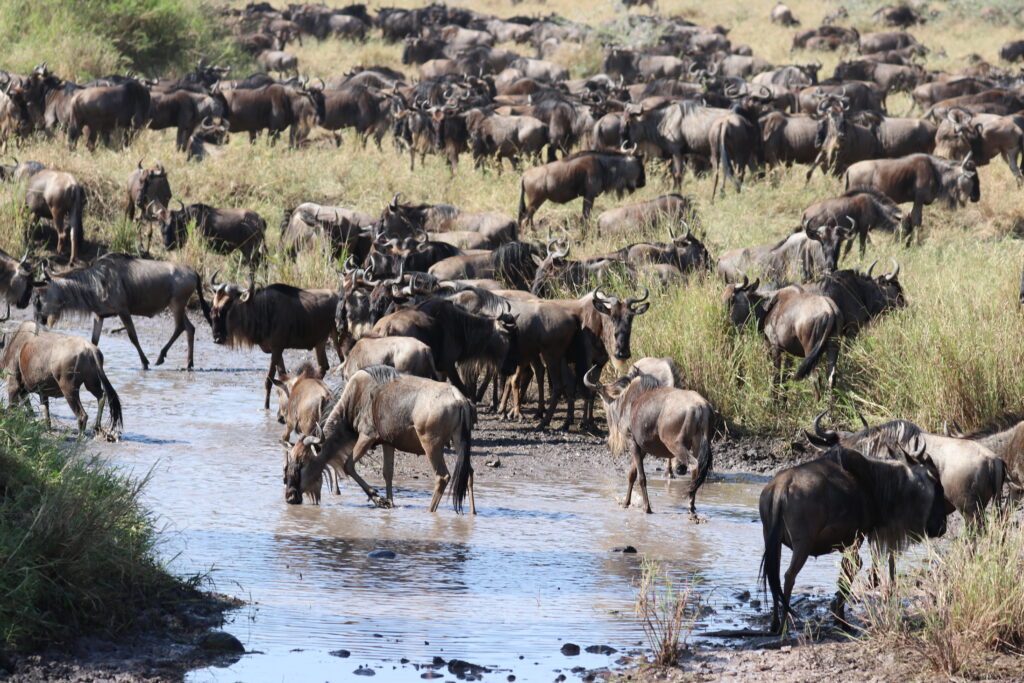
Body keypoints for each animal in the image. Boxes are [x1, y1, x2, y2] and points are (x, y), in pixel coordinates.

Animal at [32, 252, 211, 368]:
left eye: (38, 296)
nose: (39, 320)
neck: (95, 282)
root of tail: (194, 272)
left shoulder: (123, 311)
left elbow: (133, 337)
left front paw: (145, 363)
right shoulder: (99, 315)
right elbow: (94, 341)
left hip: (176, 305)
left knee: (179, 327)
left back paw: (161, 357)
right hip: (178, 307)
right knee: (190, 328)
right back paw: (188, 364)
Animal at [286, 366, 477, 516]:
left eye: (302, 462)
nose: (289, 496)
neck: (354, 398)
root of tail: (459, 399)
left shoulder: (367, 437)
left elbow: (348, 466)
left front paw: (379, 499)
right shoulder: (387, 442)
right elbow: (387, 473)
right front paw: (390, 502)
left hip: (431, 445)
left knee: (442, 476)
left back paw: (429, 512)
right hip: (459, 442)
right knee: (468, 472)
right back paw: (472, 513)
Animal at [757, 423, 946, 634]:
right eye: (934, 480)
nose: (940, 527)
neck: (874, 480)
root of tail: (782, 487)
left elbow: (847, 574)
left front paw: (839, 617)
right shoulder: (856, 538)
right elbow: (850, 572)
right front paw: (841, 621)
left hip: (772, 541)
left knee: (773, 575)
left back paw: (774, 624)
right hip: (802, 545)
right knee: (788, 575)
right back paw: (783, 626)